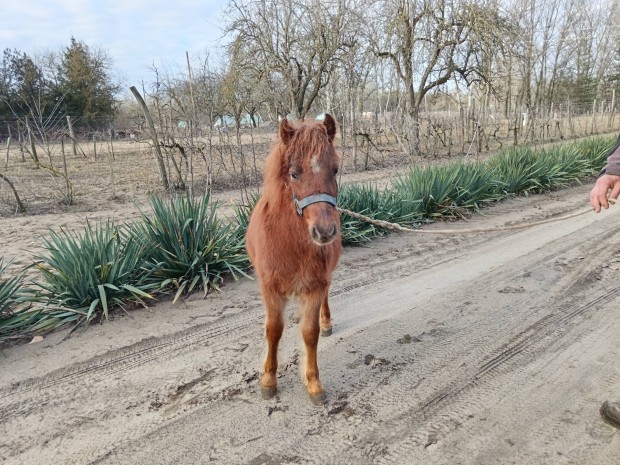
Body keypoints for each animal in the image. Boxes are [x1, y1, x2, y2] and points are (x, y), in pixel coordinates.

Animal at [246, 114, 344, 404]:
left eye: (335, 170)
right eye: (294, 173)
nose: (325, 232)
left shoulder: (315, 286)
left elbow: (310, 333)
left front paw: (313, 383)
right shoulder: (270, 288)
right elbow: (273, 330)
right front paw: (268, 380)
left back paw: (326, 322)